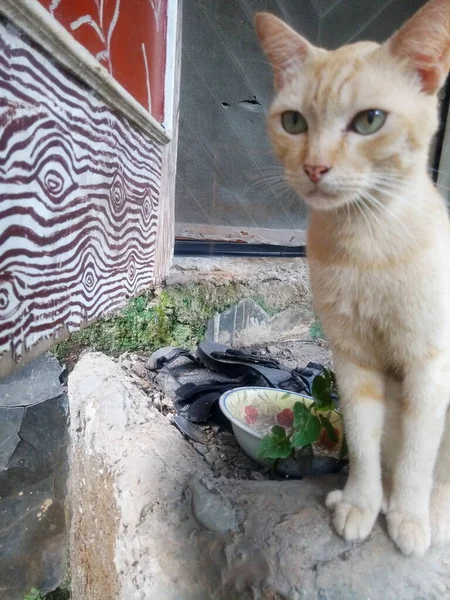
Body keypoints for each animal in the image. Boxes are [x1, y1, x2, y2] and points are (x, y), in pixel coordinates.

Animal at [258, 0, 450, 556]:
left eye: (370, 120)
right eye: (294, 121)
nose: (315, 167)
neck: (366, 243)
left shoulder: (430, 362)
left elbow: (418, 454)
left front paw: (409, 517)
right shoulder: (352, 359)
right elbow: (365, 442)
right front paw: (363, 503)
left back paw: (433, 514)